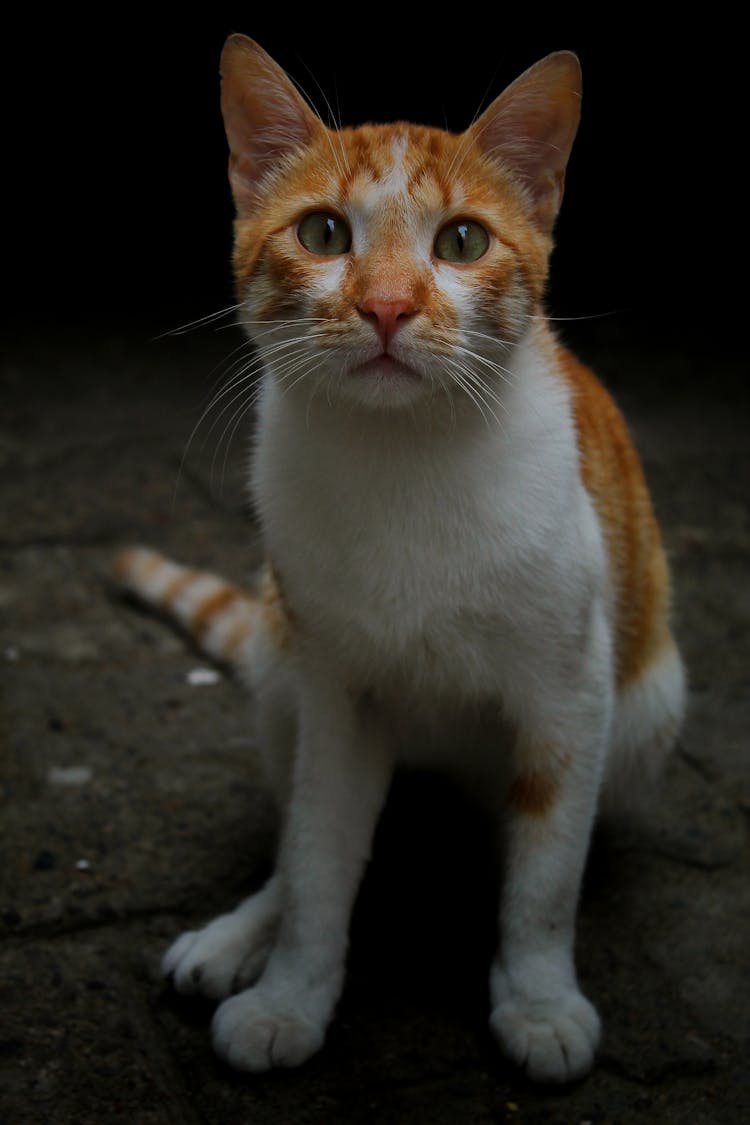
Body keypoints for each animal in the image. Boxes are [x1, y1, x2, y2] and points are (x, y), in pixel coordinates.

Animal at [113, 37, 688, 1089]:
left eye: (462, 242)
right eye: (323, 232)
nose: (384, 305)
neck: (403, 460)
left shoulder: (571, 692)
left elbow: (545, 878)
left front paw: (539, 1000)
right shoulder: (337, 691)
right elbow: (316, 856)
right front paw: (290, 995)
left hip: (645, 712)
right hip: (282, 666)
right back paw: (236, 936)